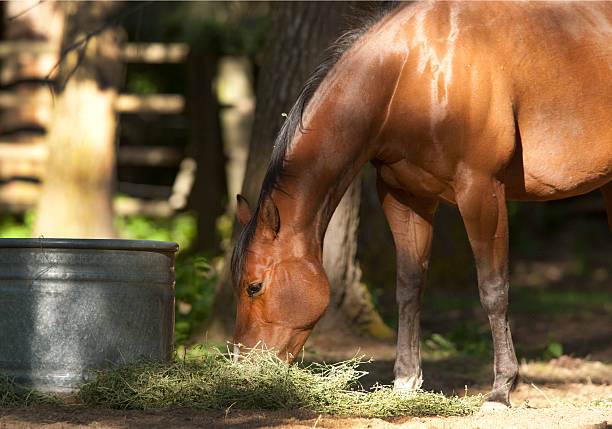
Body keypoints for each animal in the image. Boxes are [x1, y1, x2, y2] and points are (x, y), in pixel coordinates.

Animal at [230, 1, 612, 406]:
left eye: (254, 286)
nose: (243, 368)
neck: (410, 75)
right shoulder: (405, 197)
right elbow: (409, 286)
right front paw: (406, 381)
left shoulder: (481, 190)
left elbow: (493, 288)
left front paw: (500, 388)